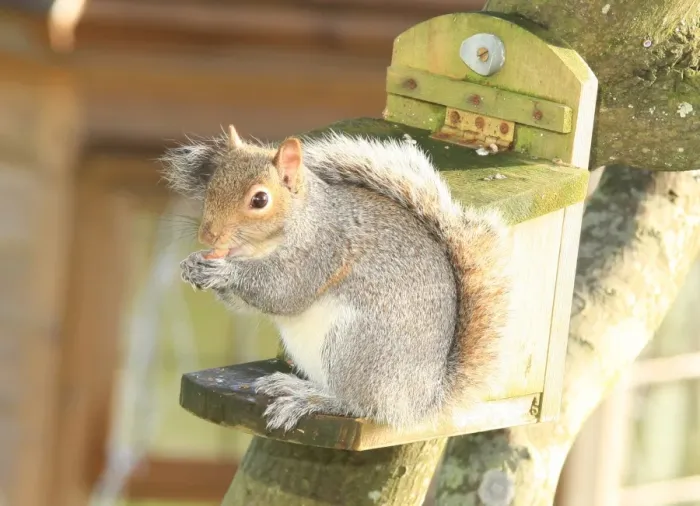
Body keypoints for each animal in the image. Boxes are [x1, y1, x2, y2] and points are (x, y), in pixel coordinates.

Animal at [160, 124, 511, 433]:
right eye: (212, 186)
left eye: (260, 200)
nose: (208, 235)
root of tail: (420, 403)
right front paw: (192, 266)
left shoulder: (321, 252)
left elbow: (282, 292)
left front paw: (224, 272)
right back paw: (291, 384)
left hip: (355, 347)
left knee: (356, 404)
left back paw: (308, 399)